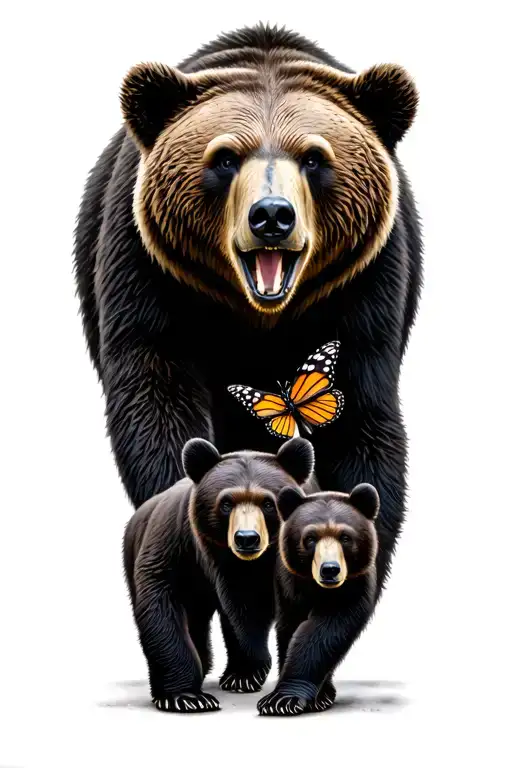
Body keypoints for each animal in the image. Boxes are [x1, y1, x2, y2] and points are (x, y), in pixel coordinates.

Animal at [73, 23, 422, 656]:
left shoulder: (366, 292)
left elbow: (361, 431)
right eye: (225, 157)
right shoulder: (148, 274)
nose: (272, 216)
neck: (257, 313)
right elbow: (157, 402)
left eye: (314, 157)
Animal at [123, 435, 316, 713]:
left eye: (268, 503)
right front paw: (186, 696)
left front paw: (248, 672)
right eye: (226, 503)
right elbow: (161, 605)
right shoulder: (177, 548)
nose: (247, 538)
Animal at [257, 483, 379, 716]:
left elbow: (325, 632)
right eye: (310, 538)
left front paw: (290, 697)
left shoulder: (353, 586)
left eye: (345, 537)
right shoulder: (289, 584)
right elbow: (290, 628)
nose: (330, 570)